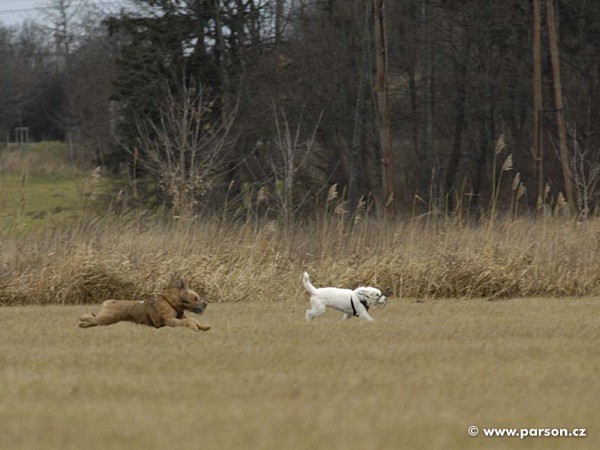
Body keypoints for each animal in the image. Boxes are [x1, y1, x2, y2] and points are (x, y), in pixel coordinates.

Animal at [78, 280, 211, 332]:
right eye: (195, 298)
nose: (206, 304)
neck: (172, 301)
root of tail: (109, 302)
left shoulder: (181, 316)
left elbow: (193, 319)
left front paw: (204, 327)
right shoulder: (170, 320)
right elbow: (188, 322)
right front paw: (195, 328)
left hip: (106, 319)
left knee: (93, 320)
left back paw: (83, 325)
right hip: (107, 318)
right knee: (92, 318)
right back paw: (82, 318)